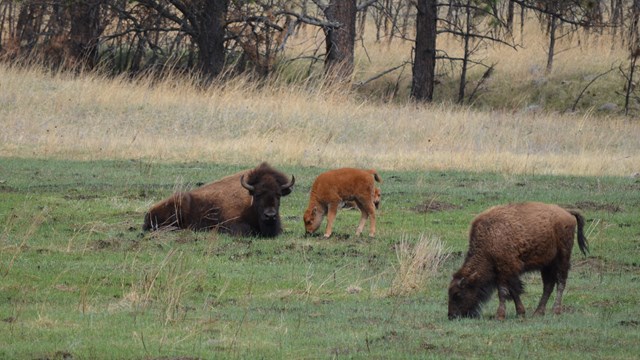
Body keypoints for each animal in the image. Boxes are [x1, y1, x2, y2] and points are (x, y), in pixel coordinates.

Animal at [448, 202, 588, 320]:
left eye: (457, 294)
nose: (451, 316)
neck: (490, 238)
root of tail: (567, 213)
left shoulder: (505, 270)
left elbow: (503, 292)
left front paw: (500, 316)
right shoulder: (507, 272)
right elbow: (513, 291)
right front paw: (520, 312)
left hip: (562, 258)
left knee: (561, 282)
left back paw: (555, 311)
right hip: (547, 264)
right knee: (548, 286)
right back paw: (538, 312)